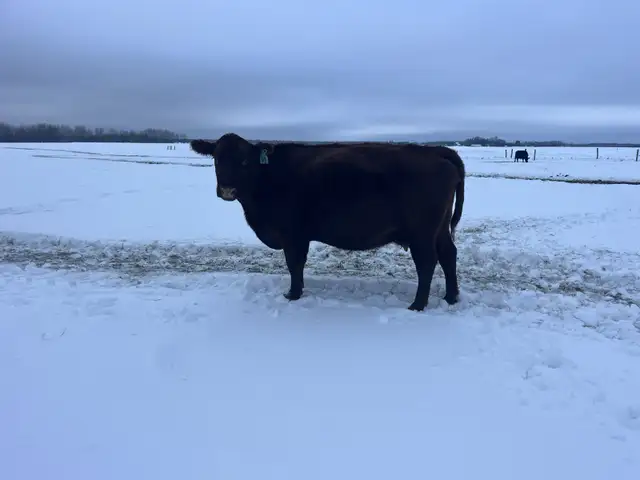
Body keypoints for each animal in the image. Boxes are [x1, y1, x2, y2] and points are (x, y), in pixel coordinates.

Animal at [190, 133, 465, 311]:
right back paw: (451, 297)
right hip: (439, 229)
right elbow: (298, 265)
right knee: (449, 254)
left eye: (244, 160)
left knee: (427, 263)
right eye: (216, 158)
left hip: (422, 233)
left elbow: (294, 264)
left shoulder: (293, 234)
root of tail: (436, 150)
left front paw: (292, 295)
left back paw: (417, 305)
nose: (227, 190)